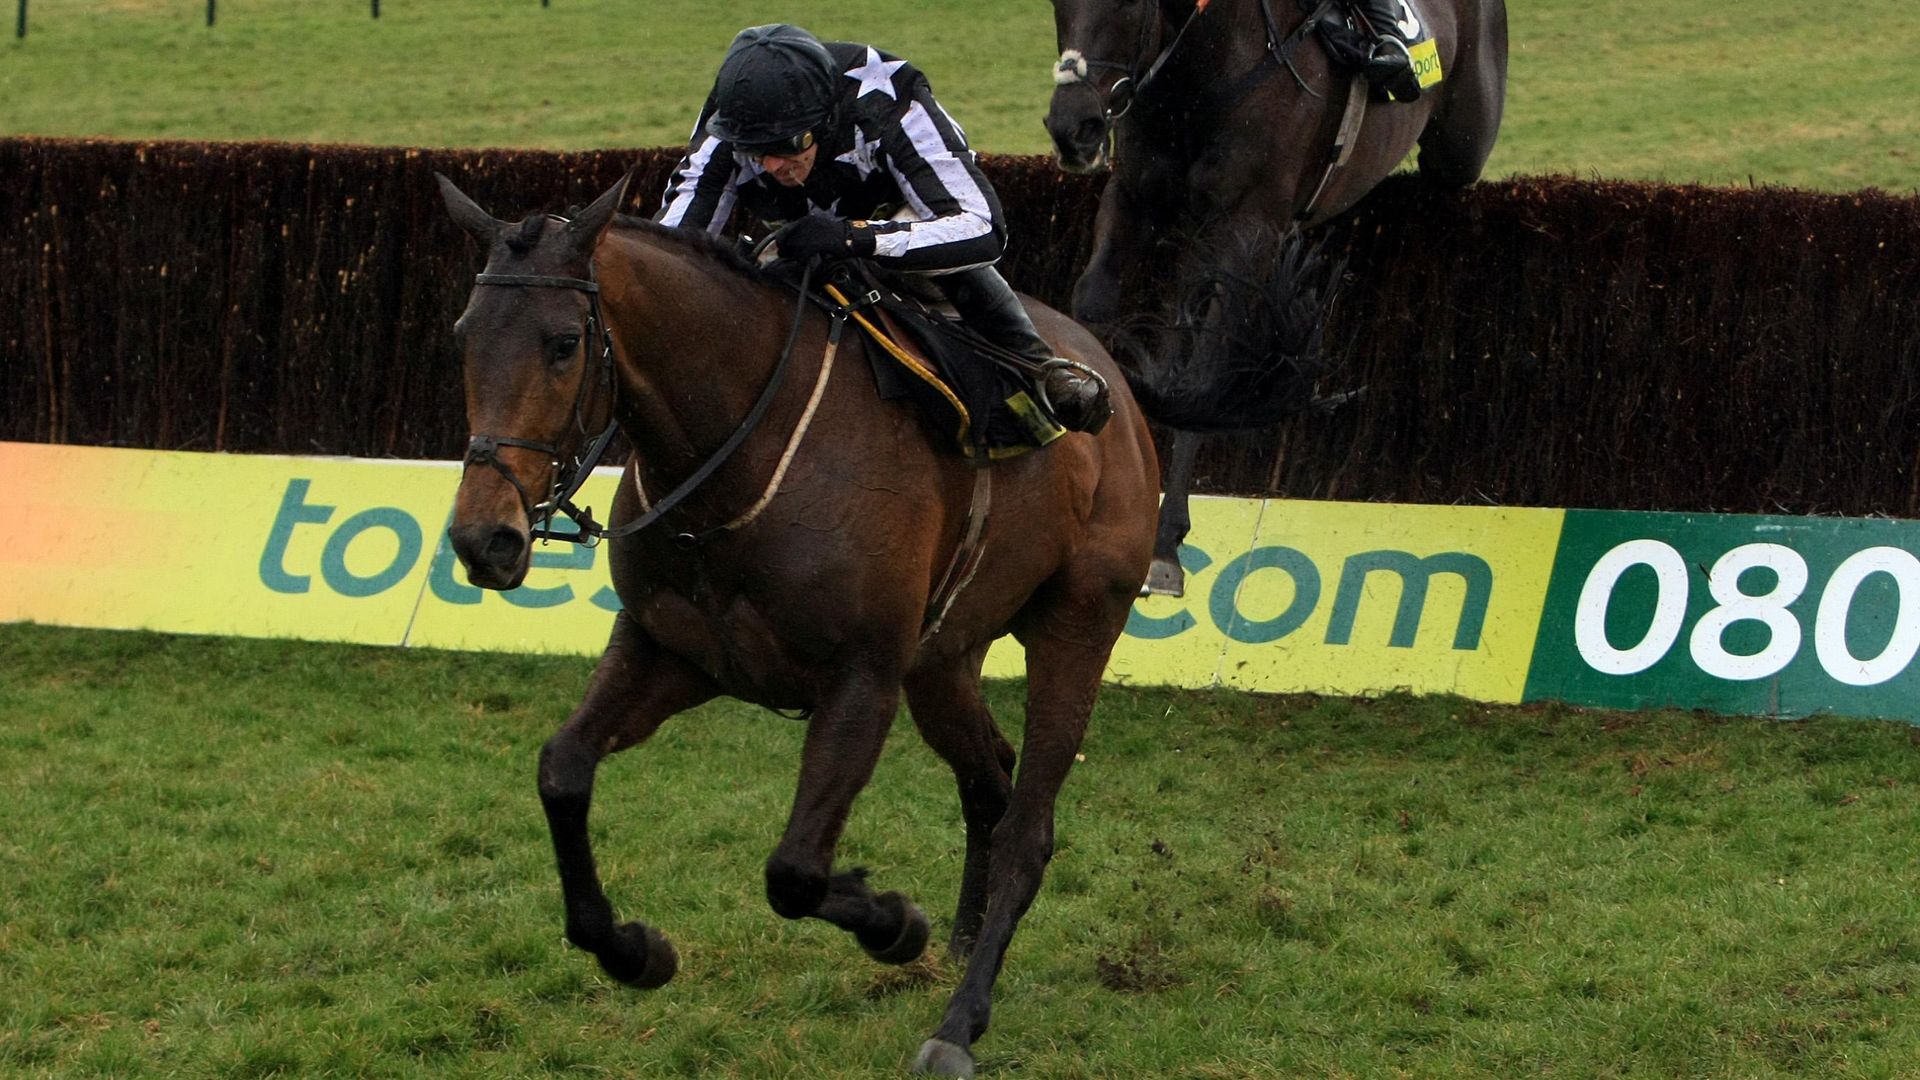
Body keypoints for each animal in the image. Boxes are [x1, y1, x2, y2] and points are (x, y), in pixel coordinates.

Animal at [435, 174, 1305, 1076]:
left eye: (564, 343)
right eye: (465, 337)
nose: (484, 538)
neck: (744, 449)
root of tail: (1115, 388)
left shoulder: (861, 681)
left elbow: (795, 872)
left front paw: (895, 923)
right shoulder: (673, 653)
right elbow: (562, 771)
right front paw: (634, 949)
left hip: (1078, 624)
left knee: (1027, 827)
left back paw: (959, 1020)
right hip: (943, 659)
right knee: (989, 781)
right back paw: (961, 942)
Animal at [1044, 0, 1505, 591]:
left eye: (1128, 6)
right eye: (1057, 5)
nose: (1072, 128)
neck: (1199, 76)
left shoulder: (1249, 223)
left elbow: (1208, 362)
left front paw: (1164, 545)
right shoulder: (1135, 197)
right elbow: (1096, 305)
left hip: (1464, 139)